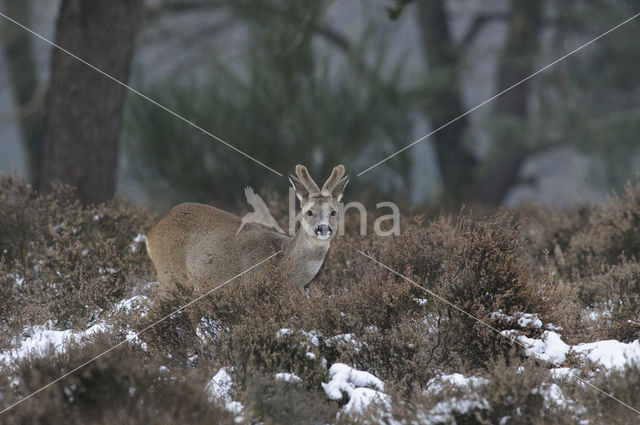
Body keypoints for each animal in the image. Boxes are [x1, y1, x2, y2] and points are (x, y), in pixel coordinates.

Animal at [147, 164, 348, 296]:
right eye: (309, 212)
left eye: (333, 211)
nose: (323, 228)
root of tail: (150, 234)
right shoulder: (251, 287)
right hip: (170, 275)